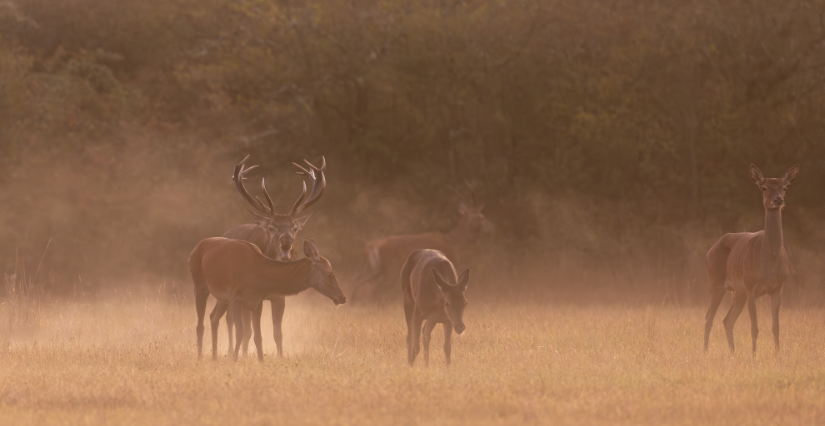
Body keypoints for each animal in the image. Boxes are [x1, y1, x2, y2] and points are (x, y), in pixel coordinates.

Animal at [190, 238, 344, 362]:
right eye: (330, 274)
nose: (342, 297)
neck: (259, 275)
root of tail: (193, 250)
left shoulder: (257, 301)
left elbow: (258, 335)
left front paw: (261, 361)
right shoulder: (235, 298)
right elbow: (240, 331)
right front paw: (234, 359)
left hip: (222, 299)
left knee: (213, 317)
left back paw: (214, 356)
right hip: (200, 286)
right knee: (200, 325)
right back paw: (200, 357)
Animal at [220, 155, 326, 358]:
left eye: (295, 228)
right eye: (271, 228)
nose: (286, 241)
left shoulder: (279, 296)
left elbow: (278, 333)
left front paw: (280, 356)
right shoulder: (249, 295)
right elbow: (248, 331)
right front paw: (244, 356)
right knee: (230, 321)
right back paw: (230, 351)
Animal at [348, 186, 490, 302]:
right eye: (480, 217)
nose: (488, 229)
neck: (454, 241)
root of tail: (373, 245)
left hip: (373, 268)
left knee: (357, 280)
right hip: (390, 269)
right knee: (375, 291)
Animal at [700, 165, 800, 354]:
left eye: (784, 188)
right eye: (764, 188)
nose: (778, 200)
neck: (770, 259)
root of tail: (709, 251)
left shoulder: (777, 289)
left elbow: (776, 327)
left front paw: (777, 354)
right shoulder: (752, 288)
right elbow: (755, 327)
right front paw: (754, 355)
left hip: (738, 291)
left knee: (726, 320)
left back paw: (732, 352)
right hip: (716, 283)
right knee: (709, 318)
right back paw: (706, 352)